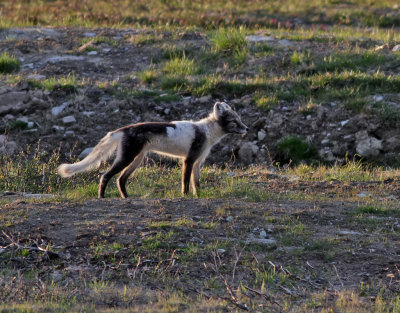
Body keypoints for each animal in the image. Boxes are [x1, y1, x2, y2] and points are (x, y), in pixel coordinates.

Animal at [57, 102, 248, 197]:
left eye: (240, 119)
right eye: (234, 122)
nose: (246, 128)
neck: (207, 131)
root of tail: (124, 129)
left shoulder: (198, 163)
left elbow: (197, 183)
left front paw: (198, 196)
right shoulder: (188, 160)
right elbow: (186, 182)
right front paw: (185, 196)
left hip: (137, 160)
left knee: (120, 179)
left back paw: (126, 197)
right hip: (127, 158)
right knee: (105, 176)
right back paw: (102, 197)